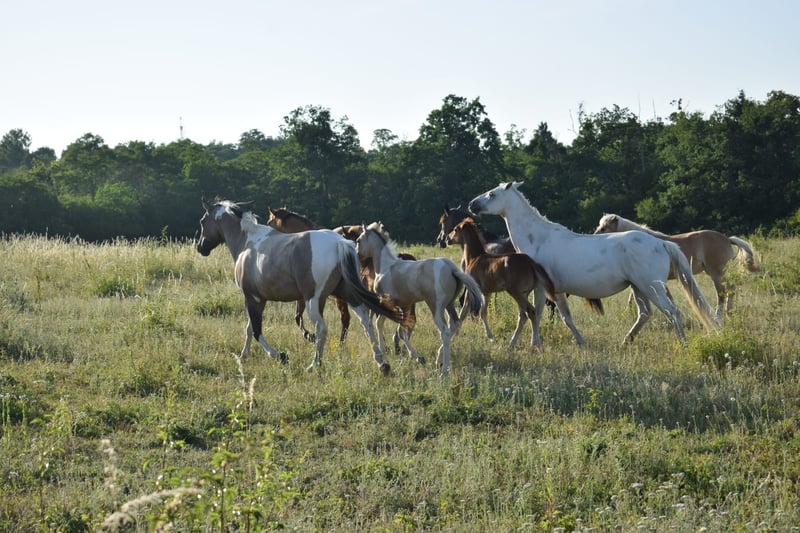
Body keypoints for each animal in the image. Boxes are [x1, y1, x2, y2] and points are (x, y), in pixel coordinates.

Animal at [266, 207, 352, 344]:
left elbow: (299, 317)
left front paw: (310, 335)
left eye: (269, 222)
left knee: (346, 318)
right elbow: (299, 316)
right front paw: (311, 335)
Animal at [355, 222, 485, 375]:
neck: (385, 266)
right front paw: (416, 357)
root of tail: (451, 268)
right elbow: (402, 330)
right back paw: (439, 359)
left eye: (358, 241)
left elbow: (383, 325)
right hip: (449, 305)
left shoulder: (388, 303)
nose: (356, 257)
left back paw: (444, 370)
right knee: (455, 324)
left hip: (436, 307)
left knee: (445, 332)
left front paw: (390, 354)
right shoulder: (405, 305)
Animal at [447, 218, 559, 349]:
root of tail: (530, 262)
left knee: (530, 312)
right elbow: (483, 312)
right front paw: (490, 336)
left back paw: (536, 345)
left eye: (455, 229)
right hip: (524, 293)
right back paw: (514, 343)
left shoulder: (471, 291)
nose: (447, 239)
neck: (475, 258)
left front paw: (455, 333)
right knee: (524, 315)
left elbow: (464, 311)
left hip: (516, 292)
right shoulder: (487, 293)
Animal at [468, 182, 720, 345]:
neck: (538, 239)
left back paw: (683, 344)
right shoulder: (554, 291)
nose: (472, 204)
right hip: (639, 288)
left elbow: (535, 314)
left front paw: (531, 344)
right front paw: (579, 342)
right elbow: (563, 317)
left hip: (652, 288)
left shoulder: (540, 288)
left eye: (491, 194)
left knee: (673, 313)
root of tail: (661, 243)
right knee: (645, 314)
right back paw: (625, 341)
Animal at [593, 213, 758, 317]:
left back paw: (720, 316)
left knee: (722, 294)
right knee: (731, 290)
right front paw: (630, 312)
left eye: (604, 228)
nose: (593, 238)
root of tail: (727, 238)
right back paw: (730, 314)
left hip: (716, 273)